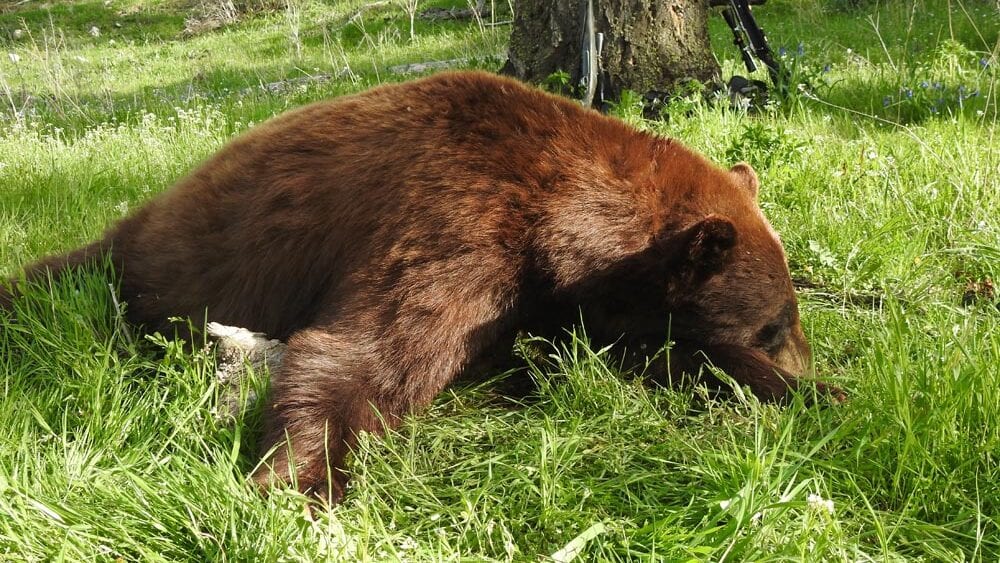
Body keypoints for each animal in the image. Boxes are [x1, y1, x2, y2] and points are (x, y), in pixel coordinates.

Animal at [0, 70, 839, 502]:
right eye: (773, 321)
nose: (795, 350)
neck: (562, 218)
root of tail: (140, 217)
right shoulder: (454, 220)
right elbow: (362, 355)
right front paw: (302, 481)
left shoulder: (578, 305)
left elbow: (644, 348)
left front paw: (811, 391)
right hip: (151, 262)